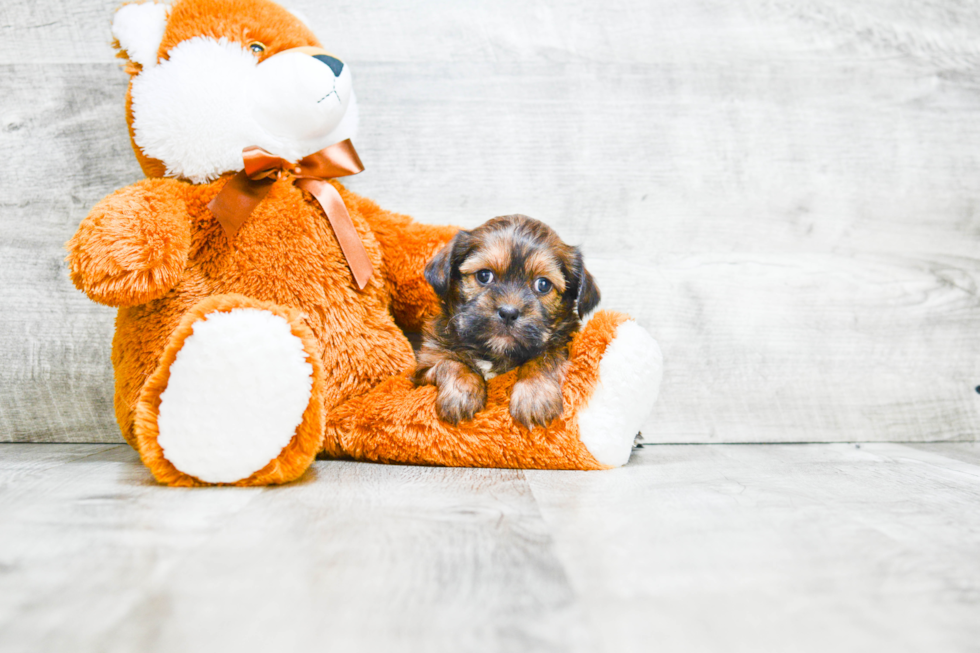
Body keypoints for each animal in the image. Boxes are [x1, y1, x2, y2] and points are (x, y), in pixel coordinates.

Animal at [412, 214, 600, 428]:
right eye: (484, 275)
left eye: (543, 285)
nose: (508, 313)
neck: (494, 354)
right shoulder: (424, 368)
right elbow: (451, 363)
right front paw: (462, 392)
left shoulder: (562, 344)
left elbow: (544, 358)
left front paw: (535, 395)